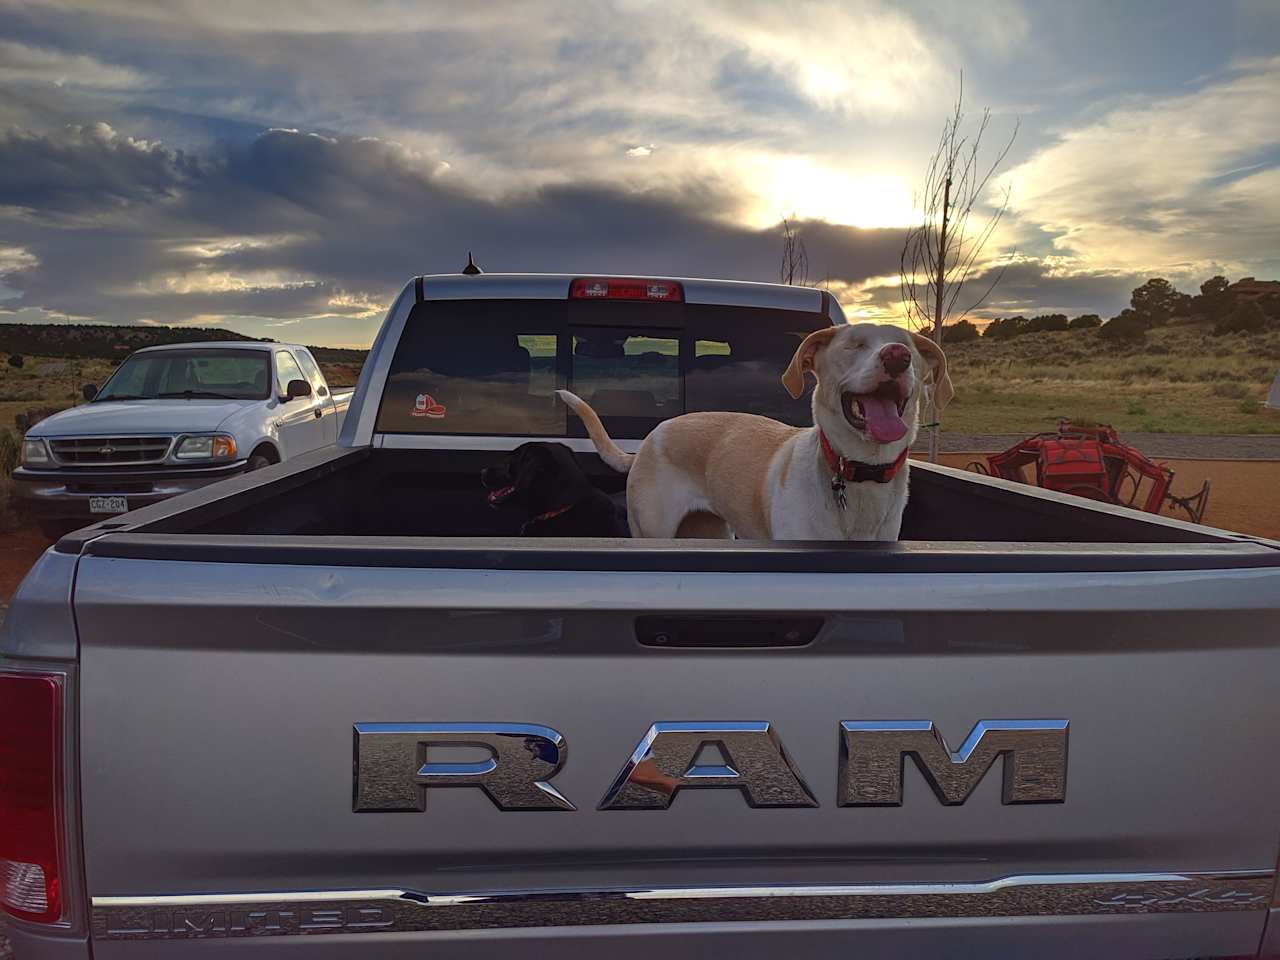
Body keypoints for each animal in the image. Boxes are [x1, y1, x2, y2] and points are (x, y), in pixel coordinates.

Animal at [558, 325, 952, 542]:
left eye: (911, 350)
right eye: (854, 345)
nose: (897, 356)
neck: (856, 471)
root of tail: (648, 441)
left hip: (708, 530)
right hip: (652, 530)